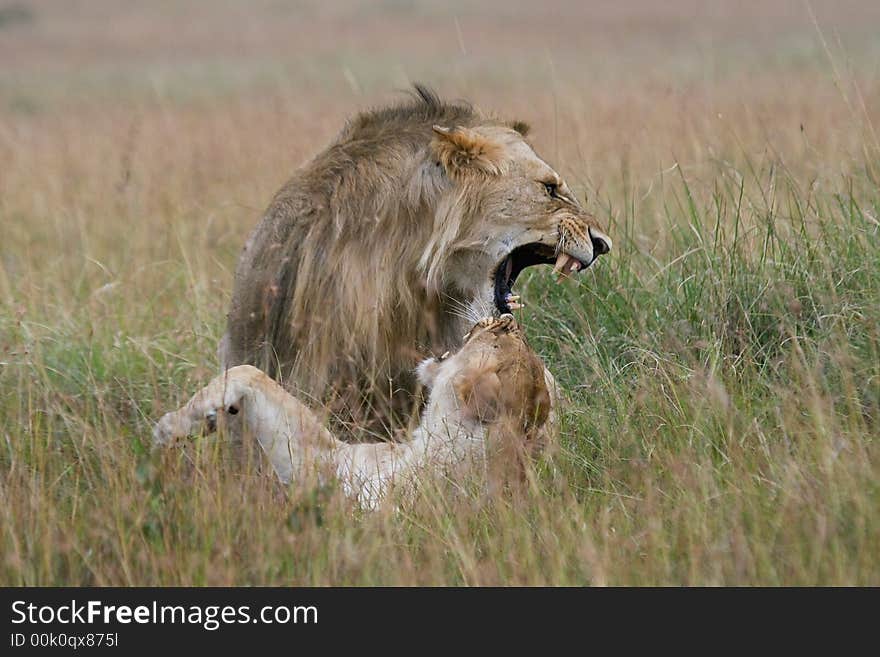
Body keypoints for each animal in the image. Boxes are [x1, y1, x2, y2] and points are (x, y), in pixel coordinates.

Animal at [152, 316, 552, 510]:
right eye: (511, 333)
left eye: (500, 335)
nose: (506, 313)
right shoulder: (329, 462)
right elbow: (255, 377)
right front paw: (202, 419)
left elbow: (249, 372)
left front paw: (169, 427)